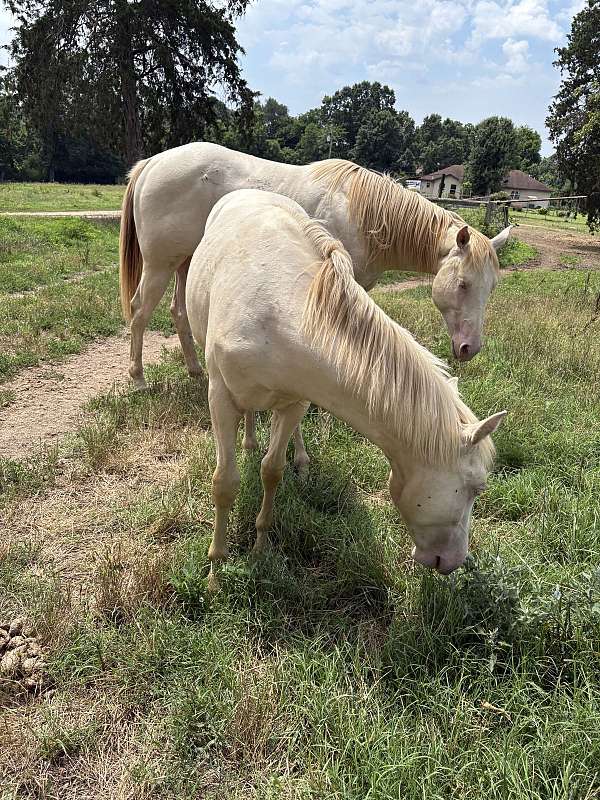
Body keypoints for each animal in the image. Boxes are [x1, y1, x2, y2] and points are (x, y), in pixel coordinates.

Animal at [185, 189, 507, 590]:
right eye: (477, 488)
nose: (455, 562)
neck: (276, 312)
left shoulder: (295, 401)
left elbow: (271, 470)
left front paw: (259, 547)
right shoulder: (220, 399)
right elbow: (224, 484)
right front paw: (215, 572)